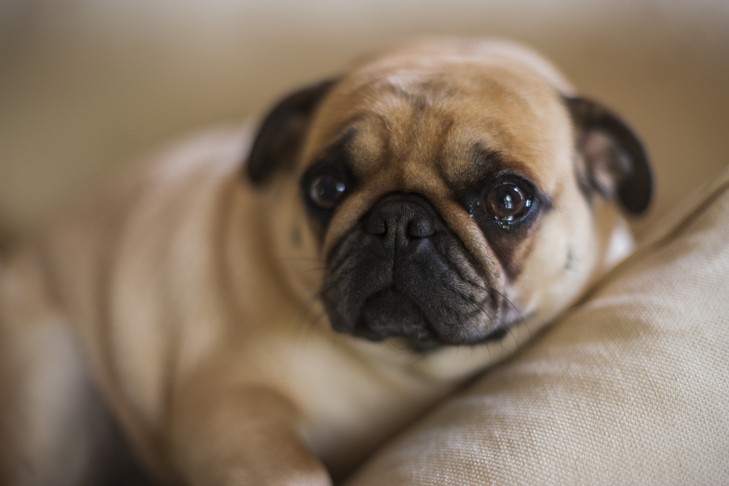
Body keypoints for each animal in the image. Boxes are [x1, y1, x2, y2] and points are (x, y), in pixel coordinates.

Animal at [0, 39, 648, 486]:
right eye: (326, 188)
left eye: (508, 201)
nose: (399, 222)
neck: (403, 366)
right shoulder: (232, 409)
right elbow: (295, 469)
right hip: (50, 375)